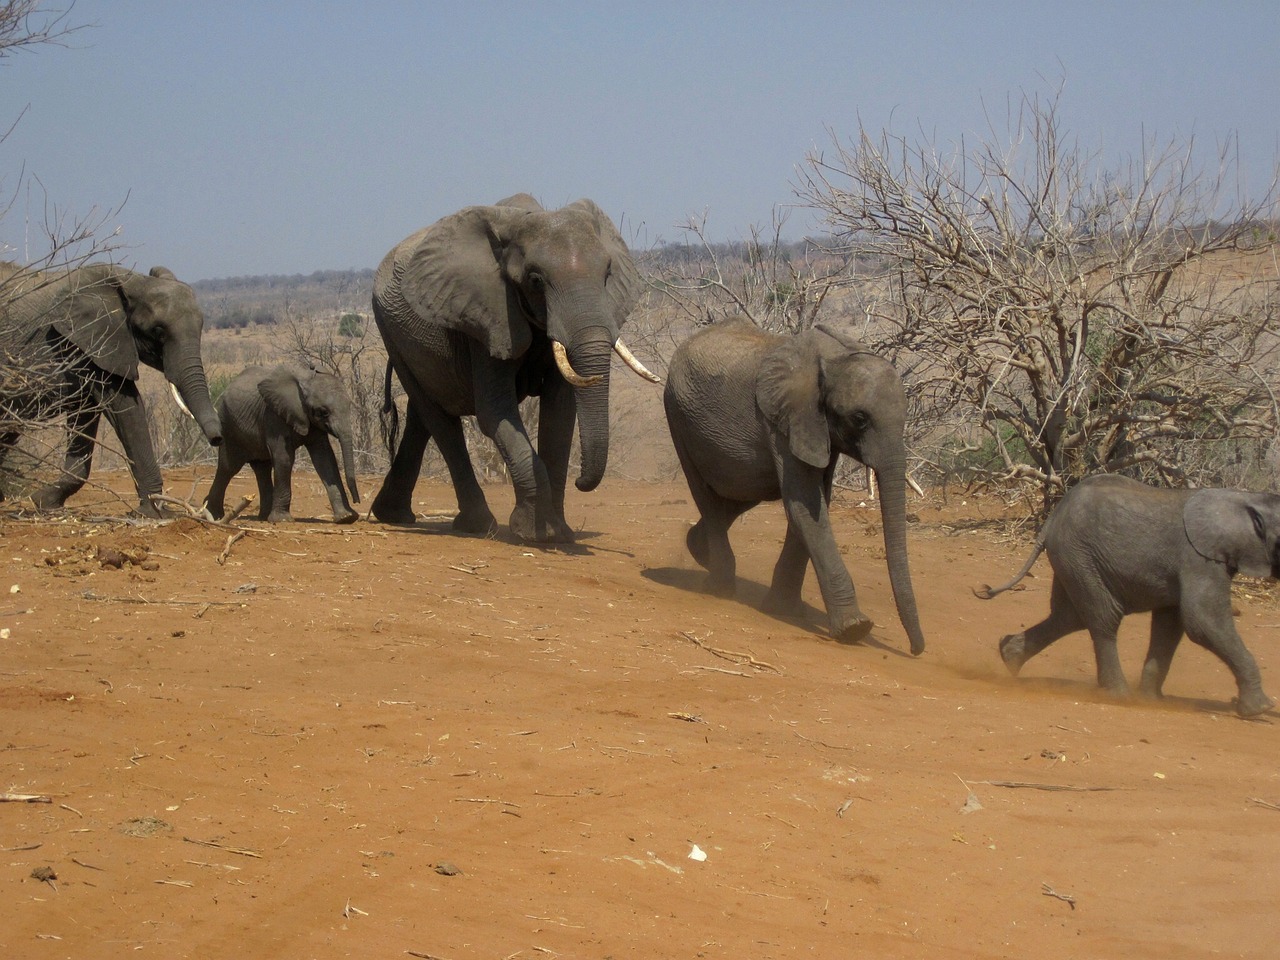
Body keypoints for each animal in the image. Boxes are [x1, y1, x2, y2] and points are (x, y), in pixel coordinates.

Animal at [203, 363, 360, 522]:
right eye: (323, 412)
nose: (357, 501)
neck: (305, 381)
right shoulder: (273, 414)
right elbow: (284, 458)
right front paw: (282, 520)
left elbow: (325, 458)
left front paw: (346, 518)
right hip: (228, 426)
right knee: (228, 467)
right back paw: (214, 515)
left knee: (262, 469)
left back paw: (264, 517)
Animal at [366, 192, 655, 545]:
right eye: (535, 280)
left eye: (607, 275)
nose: (581, 483)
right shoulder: (486, 317)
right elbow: (495, 412)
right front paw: (531, 533)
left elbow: (560, 416)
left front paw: (558, 533)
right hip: (389, 329)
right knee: (440, 421)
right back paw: (478, 526)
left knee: (422, 417)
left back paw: (394, 515)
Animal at [665, 320, 926, 660]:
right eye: (859, 418)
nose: (916, 650)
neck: (834, 357)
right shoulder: (783, 421)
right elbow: (805, 506)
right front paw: (855, 629)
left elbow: (813, 503)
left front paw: (783, 611)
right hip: (676, 414)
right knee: (707, 496)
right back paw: (720, 588)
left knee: (742, 492)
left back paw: (698, 550)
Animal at [977, 478, 1280, 716]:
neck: (1246, 499)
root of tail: (1053, 517)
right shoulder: (1199, 559)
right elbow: (1202, 620)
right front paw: (1260, 709)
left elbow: (1171, 625)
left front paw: (1152, 701)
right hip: (1079, 555)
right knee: (1103, 617)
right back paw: (1118, 695)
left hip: (1072, 558)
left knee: (1069, 617)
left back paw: (1009, 657)